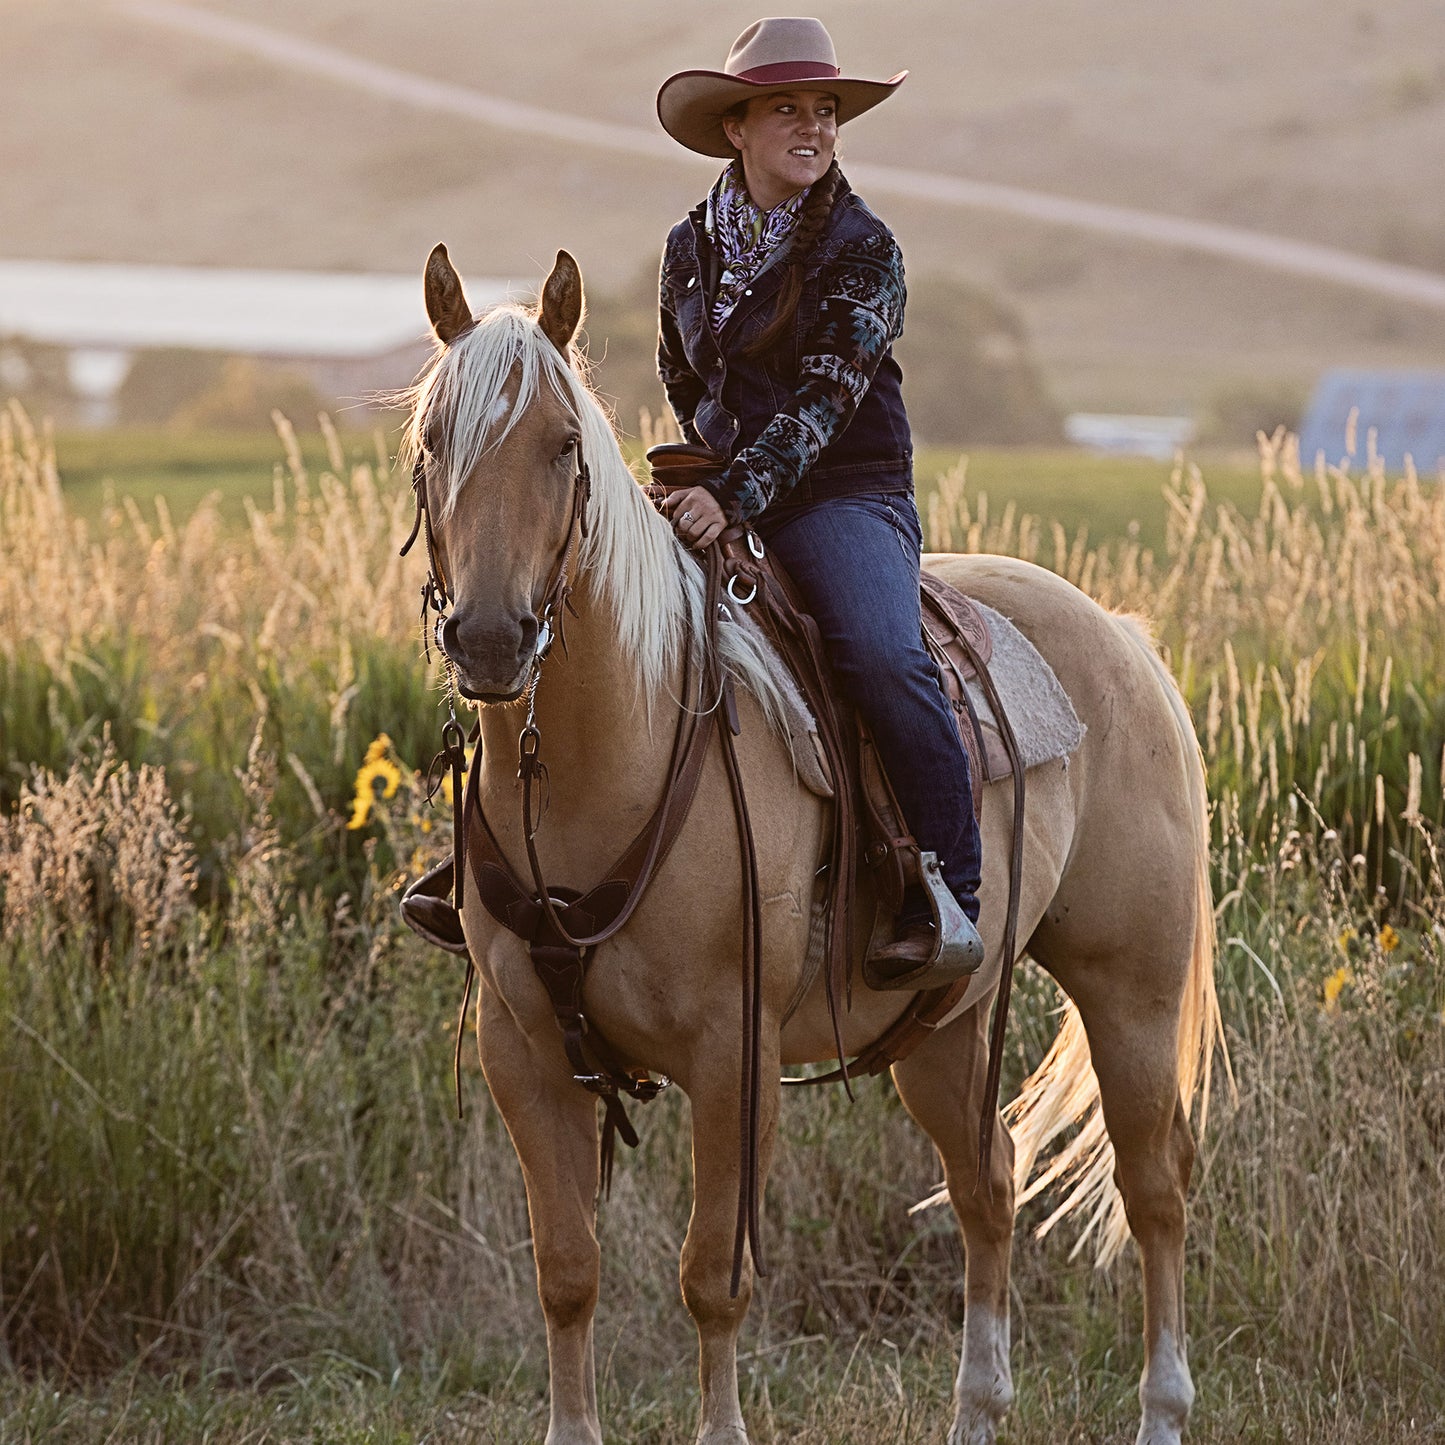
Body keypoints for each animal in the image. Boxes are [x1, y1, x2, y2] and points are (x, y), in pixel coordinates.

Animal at [404, 242, 1219, 1439]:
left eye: (561, 444)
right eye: (431, 444)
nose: (494, 637)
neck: (613, 756)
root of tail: (1120, 635)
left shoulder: (730, 1053)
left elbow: (713, 1276)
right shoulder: (524, 1051)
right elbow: (567, 1270)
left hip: (1132, 989)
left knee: (1152, 1183)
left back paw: (1160, 1406)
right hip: (945, 1021)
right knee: (988, 1180)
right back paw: (976, 1409)